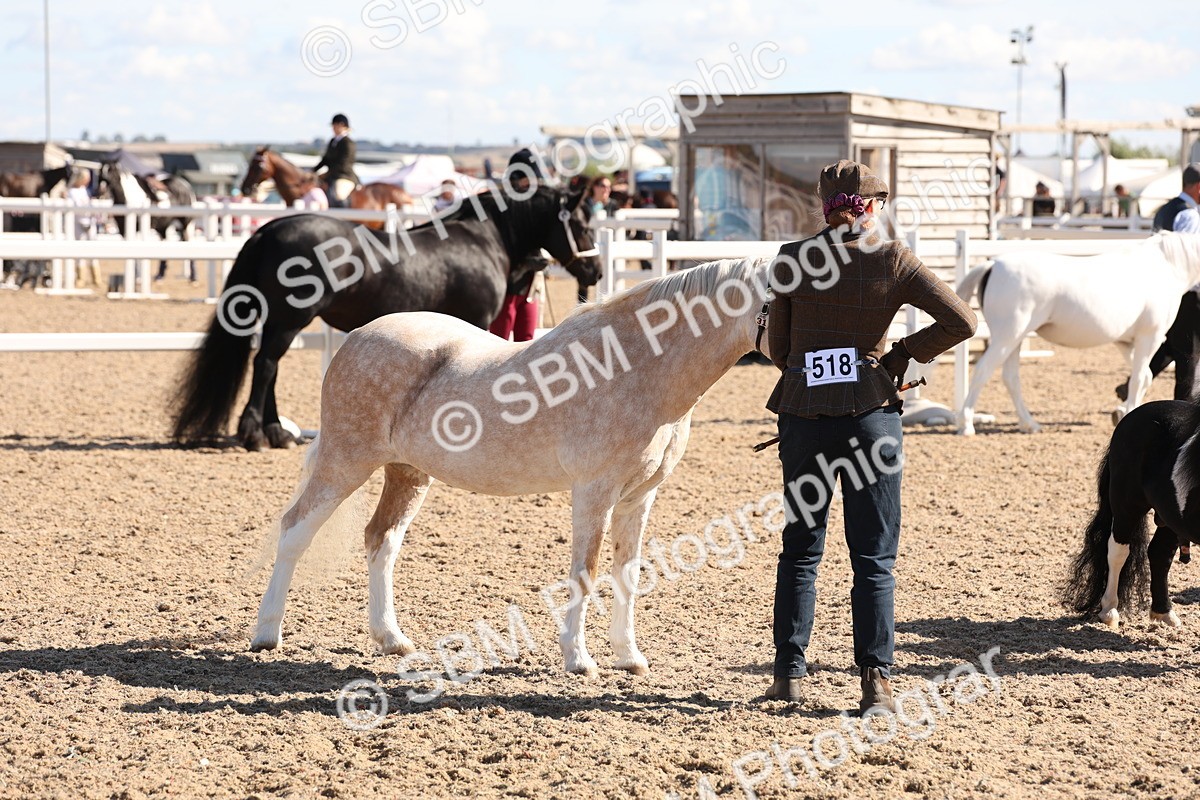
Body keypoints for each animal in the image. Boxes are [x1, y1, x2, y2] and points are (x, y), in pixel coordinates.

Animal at [171, 184, 602, 451]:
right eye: (581, 224)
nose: (595, 271)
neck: (483, 241)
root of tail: (269, 229)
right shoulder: (476, 322)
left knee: (270, 367)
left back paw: (277, 432)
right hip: (289, 319)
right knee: (265, 365)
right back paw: (256, 434)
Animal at [249, 256, 774, 676]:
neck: (636, 365)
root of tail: (356, 338)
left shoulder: (639, 497)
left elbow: (628, 572)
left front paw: (629, 657)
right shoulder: (594, 492)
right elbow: (586, 571)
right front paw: (579, 659)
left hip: (406, 472)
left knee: (382, 539)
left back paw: (392, 640)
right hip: (345, 461)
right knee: (295, 530)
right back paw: (266, 634)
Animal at [955, 233, 1200, 435]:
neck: (1166, 266)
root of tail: (993, 265)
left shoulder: (1126, 342)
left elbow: (1144, 377)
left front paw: (1123, 411)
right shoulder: (1150, 337)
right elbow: (1139, 379)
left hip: (1015, 339)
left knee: (1010, 378)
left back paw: (1029, 424)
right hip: (1007, 336)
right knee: (983, 371)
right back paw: (966, 425)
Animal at [1061, 399, 1200, 630]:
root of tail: (1131, 418)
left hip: (1170, 517)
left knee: (1160, 554)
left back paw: (1164, 613)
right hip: (1126, 506)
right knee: (1118, 552)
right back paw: (1109, 611)